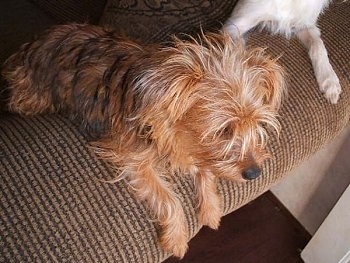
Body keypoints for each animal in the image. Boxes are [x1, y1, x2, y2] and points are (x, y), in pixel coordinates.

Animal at [2, 23, 284, 258]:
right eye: (224, 130)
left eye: (258, 125)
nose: (254, 173)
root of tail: (34, 42)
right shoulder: (132, 159)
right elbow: (169, 199)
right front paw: (177, 238)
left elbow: (204, 168)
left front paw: (211, 210)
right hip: (32, 97)